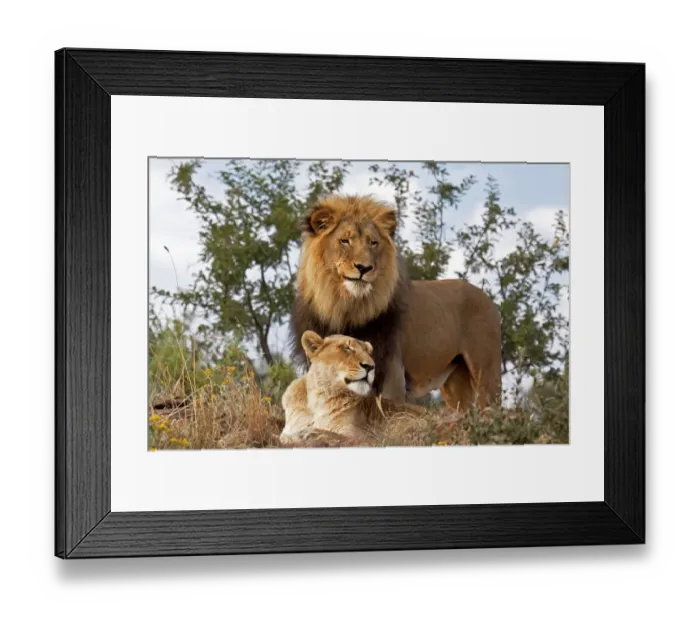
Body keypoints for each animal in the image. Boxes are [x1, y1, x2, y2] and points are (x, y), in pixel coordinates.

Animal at [280, 331, 423, 446]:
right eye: (347, 348)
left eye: (368, 353)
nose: (371, 366)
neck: (317, 398)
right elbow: (284, 437)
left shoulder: (363, 435)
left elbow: (340, 436)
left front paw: (310, 433)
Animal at [289, 194, 502, 411]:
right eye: (345, 241)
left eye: (373, 243)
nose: (364, 268)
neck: (344, 307)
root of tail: (485, 297)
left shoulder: (392, 375)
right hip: (454, 381)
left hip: (486, 370)